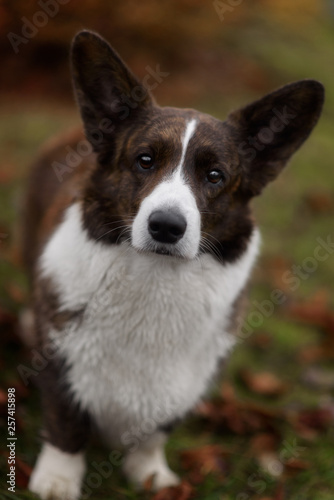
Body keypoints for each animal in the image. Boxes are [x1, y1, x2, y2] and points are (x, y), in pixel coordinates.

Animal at [23, 31, 324, 500]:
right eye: (145, 160)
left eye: (215, 176)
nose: (166, 226)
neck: (156, 278)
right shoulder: (57, 356)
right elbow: (66, 422)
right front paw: (57, 481)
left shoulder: (187, 380)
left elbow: (155, 432)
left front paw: (149, 474)